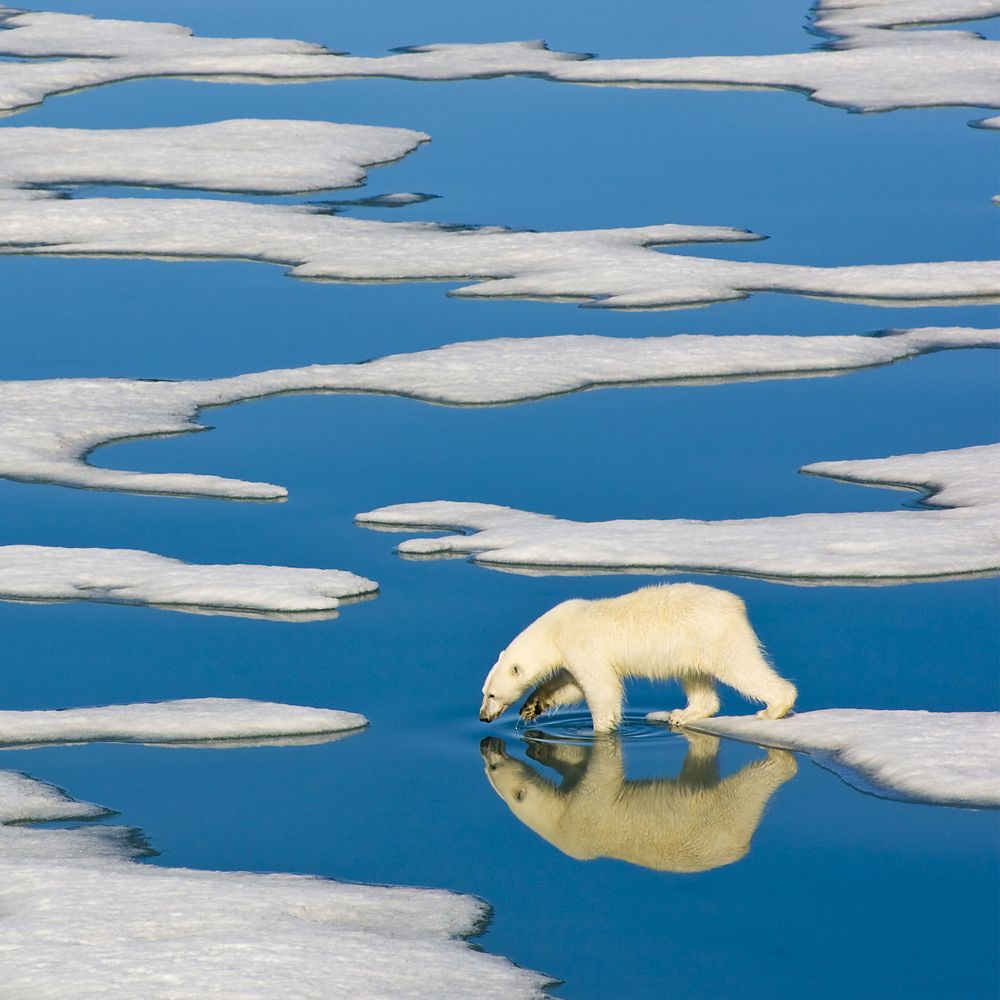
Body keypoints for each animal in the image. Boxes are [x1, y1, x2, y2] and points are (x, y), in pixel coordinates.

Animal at [480, 580, 800, 736]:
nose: (483, 717)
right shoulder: (573, 655)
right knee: (695, 678)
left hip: (716, 636)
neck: (555, 629)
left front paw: (602, 730)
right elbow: (570, 686)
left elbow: (601, 688)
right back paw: (682, 714)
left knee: (741, 667)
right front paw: (531, 706)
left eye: (492, 694)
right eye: (484, 691)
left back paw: (772, 709)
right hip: (689, 646)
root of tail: (736, 604)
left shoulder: (583, 644)